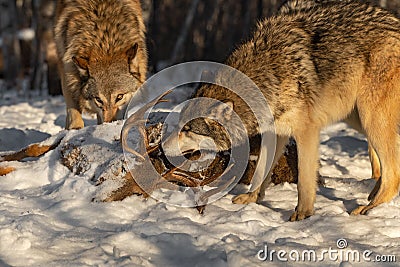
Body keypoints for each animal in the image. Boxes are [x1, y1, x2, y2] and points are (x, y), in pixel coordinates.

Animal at [53, 0, 147, 130]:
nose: (108, 125)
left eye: (119, 97)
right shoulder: (68, 74)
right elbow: (74, 112)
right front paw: (75, 129)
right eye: (98, 99)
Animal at [164, 0, 400, 222]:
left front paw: (303, 213)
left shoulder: (307, 132)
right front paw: (251, 198)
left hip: (370, 120)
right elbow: (261, 169)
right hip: (358, 119)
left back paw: (368, 208)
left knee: (393, 173)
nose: (162, 147)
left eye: (187, 130)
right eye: (179, 124)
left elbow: (304, 180)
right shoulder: (275, 132)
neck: (268, 76)